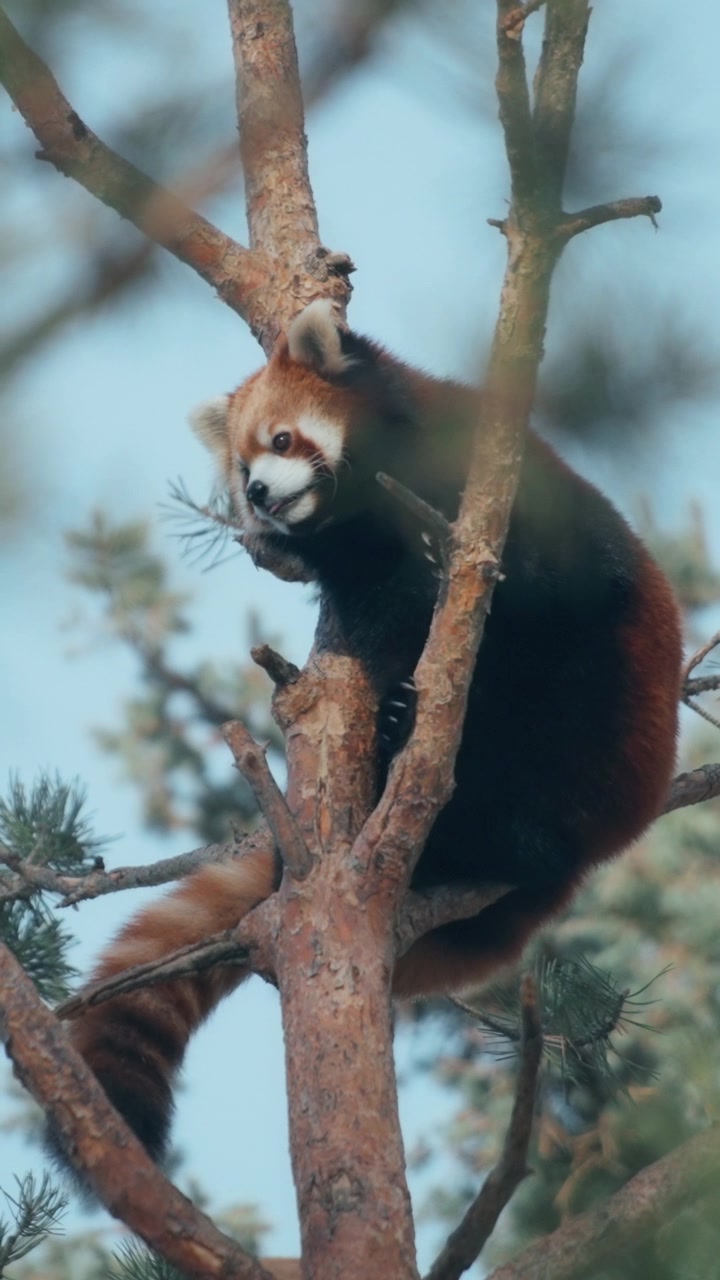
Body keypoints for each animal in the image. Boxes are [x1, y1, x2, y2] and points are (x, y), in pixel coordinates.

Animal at [62, 300, 682, 1164]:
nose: (261, 495)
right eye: (242, 468)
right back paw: (401, 738)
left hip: (596, 723)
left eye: (283, 439)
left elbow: (549, 577)